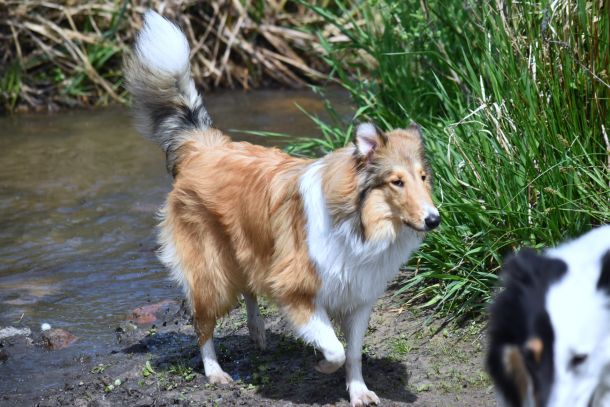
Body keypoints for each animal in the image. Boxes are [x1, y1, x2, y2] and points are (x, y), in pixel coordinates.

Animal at [125, 11, 440, 406]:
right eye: (397, 182)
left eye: (423, 177)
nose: (434, 220)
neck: (358, 223)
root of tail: (204, 145)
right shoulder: (296, 289)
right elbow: (335, 349)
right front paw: (323, 366)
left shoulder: (358, 297)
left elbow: (352, 353)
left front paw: (358, 391)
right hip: (211, 271)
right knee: (202, 323)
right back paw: (215, 372)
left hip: (245, 247)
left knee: (248, 287)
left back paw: (257, 332)